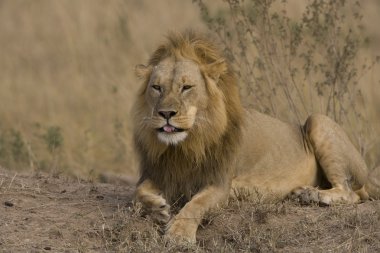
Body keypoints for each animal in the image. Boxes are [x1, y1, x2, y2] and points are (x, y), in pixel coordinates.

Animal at [131, 31, 380, 243]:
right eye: (157, 87)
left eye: (186, 87)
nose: (166, 114)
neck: (184, 147)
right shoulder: (157, 172)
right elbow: (139, 191)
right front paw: (158, 209)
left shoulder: (219, 183)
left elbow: (195, 204)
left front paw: (179, 234)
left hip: (318, 120)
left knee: (351, 193)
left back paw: (312, 195)